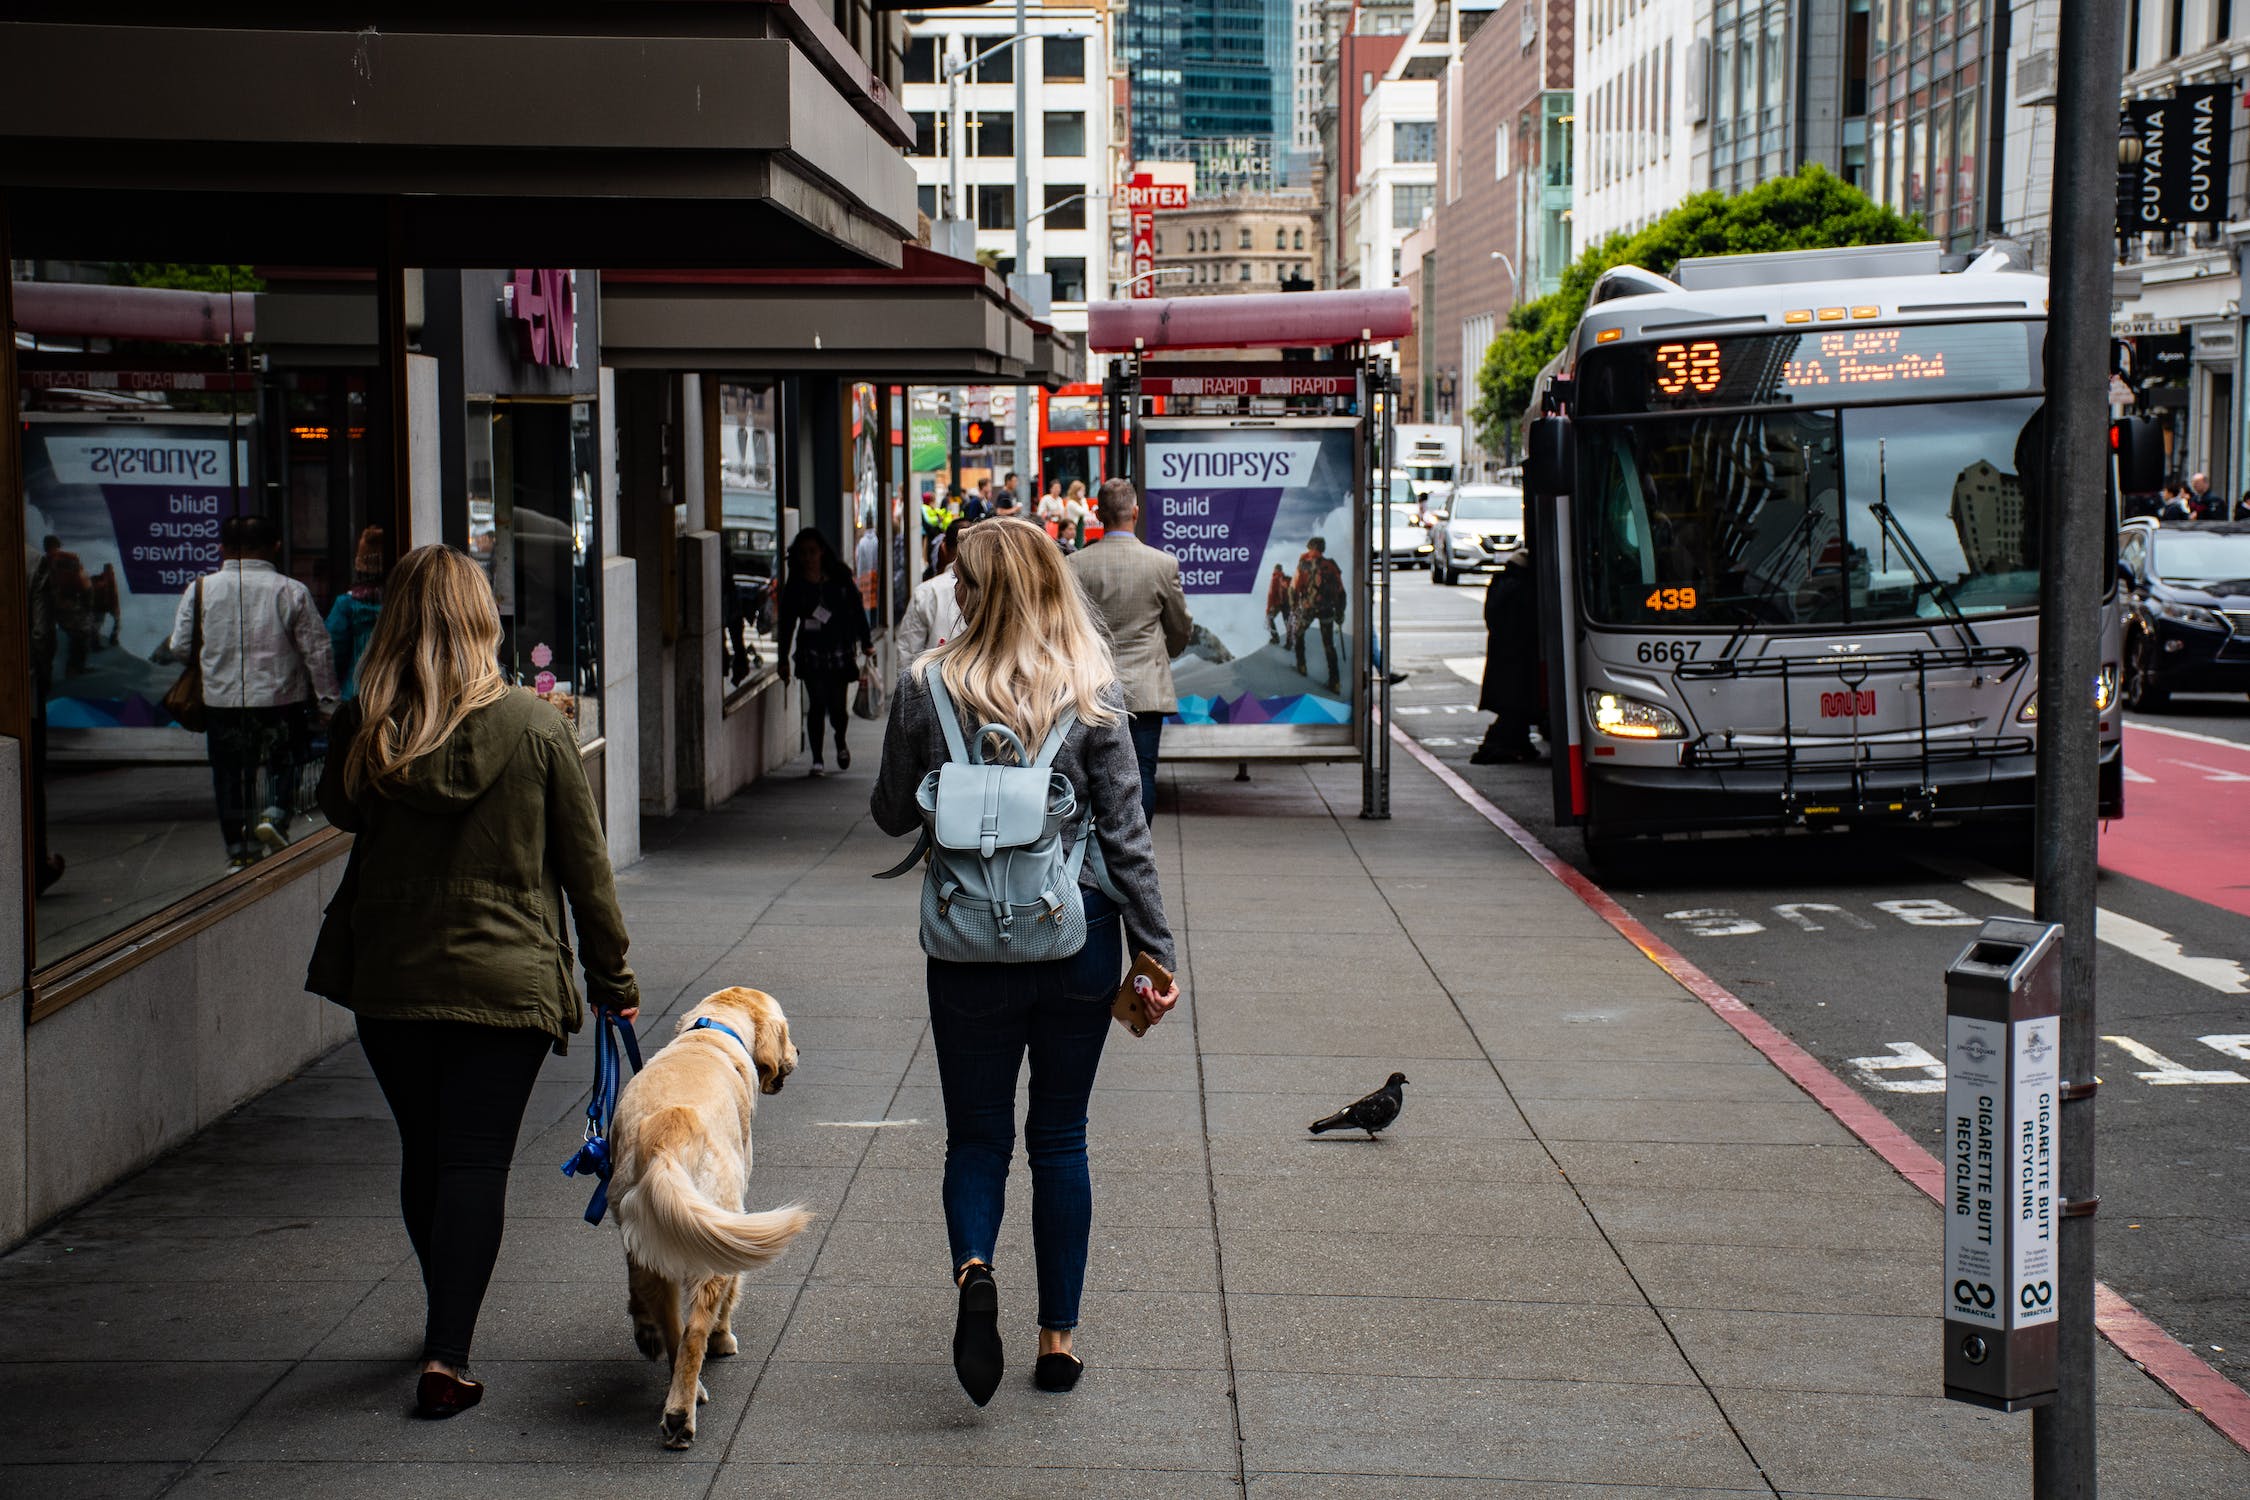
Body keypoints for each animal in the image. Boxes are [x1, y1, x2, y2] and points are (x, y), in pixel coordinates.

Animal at [607, 985, 810, 1439]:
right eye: (788, 1031)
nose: (799, 1051)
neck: (711, 1033)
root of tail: (667, 1136)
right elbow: (728, 1299)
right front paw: (723, 1338)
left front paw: (643, 1329)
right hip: (715, 1231)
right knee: (695, 1330)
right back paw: (681, 1413)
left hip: (652, 1237)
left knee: (673, 1327)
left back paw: (673, 1373)